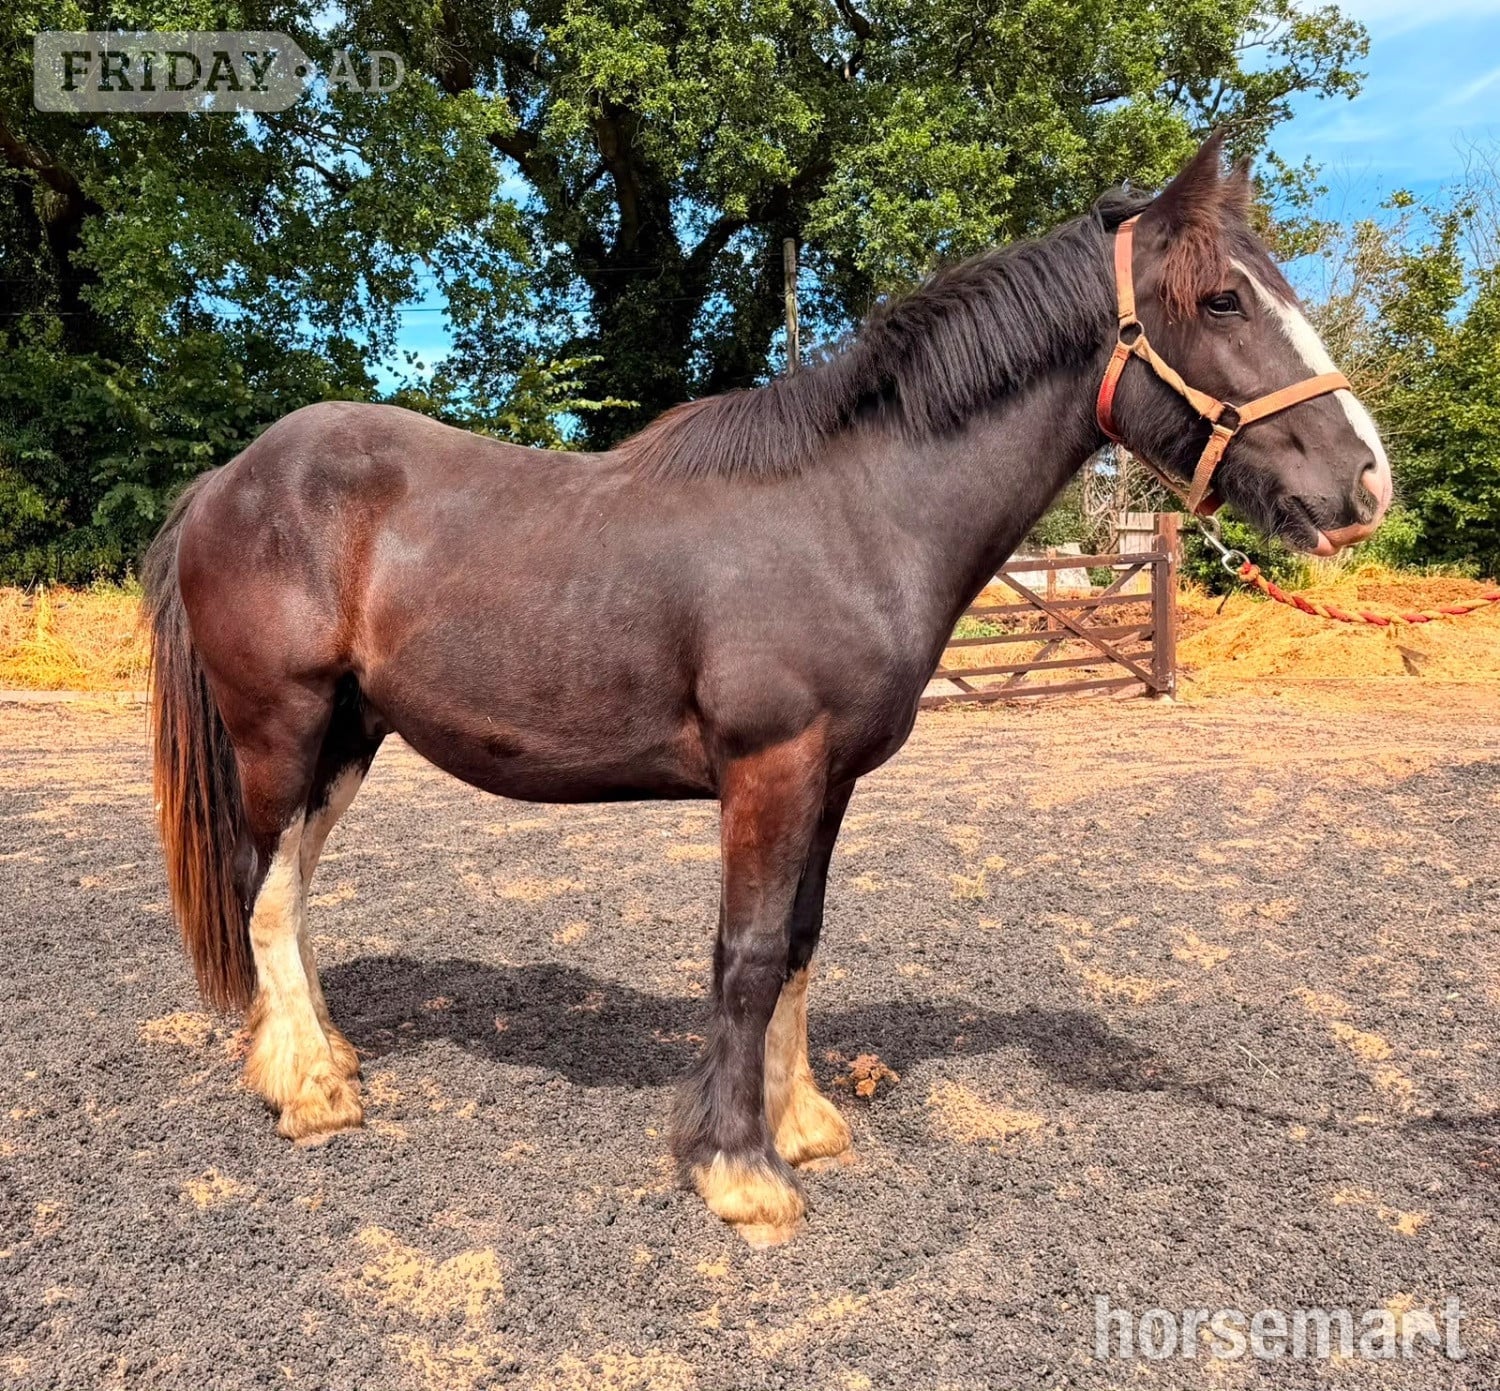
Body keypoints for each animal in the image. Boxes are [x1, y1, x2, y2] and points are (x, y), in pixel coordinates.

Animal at [141, 134, 1390, 1245]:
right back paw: (306, 1089)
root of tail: (227, 479)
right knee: (264, 893)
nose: (1365, 481)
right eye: (1224, 300)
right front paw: (736, 1170)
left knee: (292, 893)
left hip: (350, 737)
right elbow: (743, 953)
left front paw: (802, 1124)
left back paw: (320, 1056)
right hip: (283, 729)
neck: (852, 513)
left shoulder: (830, 780)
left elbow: (798, 939)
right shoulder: (770, 767)